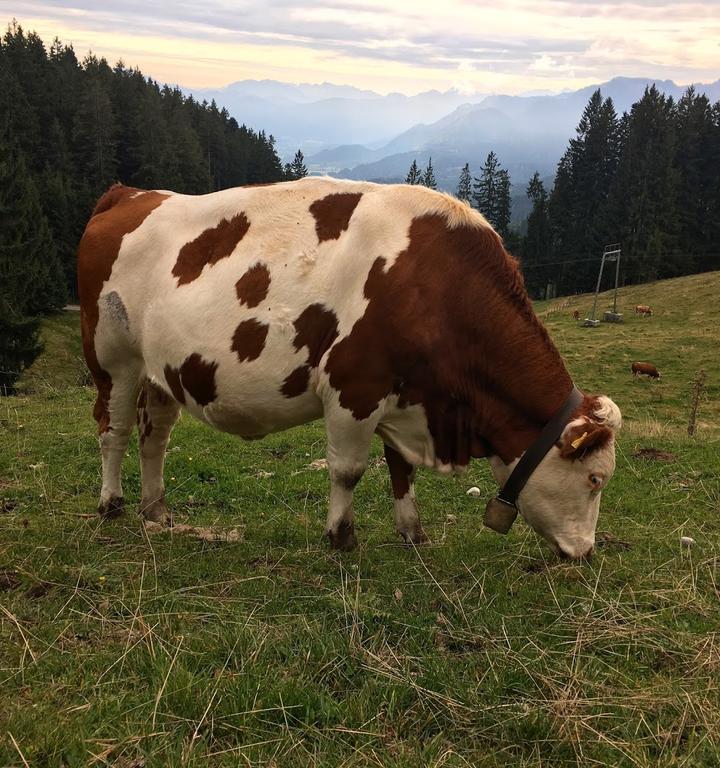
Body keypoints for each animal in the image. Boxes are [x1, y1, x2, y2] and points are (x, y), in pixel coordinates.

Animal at [76, 176, 620, 560]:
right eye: (596, 479)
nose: (585, 552)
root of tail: (129, 194)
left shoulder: (407, 395)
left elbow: (401, 470)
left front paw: (413, 532)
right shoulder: (353, 387)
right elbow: (349, 469)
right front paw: (341, 535)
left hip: (160, 373)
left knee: (154, 437)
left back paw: (156, 511)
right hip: (112, 361)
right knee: (113, 430)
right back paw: (111, 504)